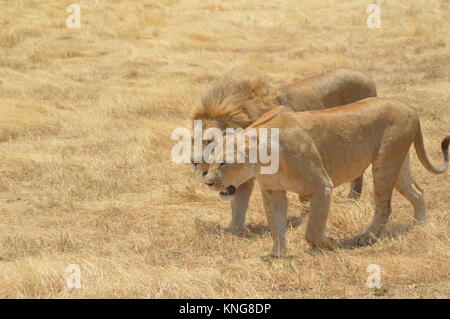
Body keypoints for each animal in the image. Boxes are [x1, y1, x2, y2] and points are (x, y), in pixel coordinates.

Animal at [189, 67, 376, 232]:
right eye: (192, 140)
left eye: (210, 140)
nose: (194, 162)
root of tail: (366, 76)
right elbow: (238, 204)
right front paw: (232, 229)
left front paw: (306, 216)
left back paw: (352, 198)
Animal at [205, 99, 450, 256]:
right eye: (211, 160)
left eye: (224, 163)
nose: (208, 182)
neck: (262, 161)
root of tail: (409, 107)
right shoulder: (273, 192)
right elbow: (276, 224)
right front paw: (277, 255)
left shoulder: (322, 186)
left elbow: (312, 230)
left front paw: (329, 244)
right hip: (398, 164)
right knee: (418, 192)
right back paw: (420, 224)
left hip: (385, 163)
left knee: (384, 207)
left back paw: (366, 237)